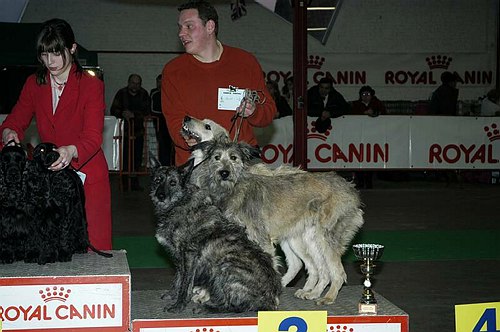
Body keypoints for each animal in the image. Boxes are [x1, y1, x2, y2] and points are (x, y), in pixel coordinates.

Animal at [148, 158, 282, 314]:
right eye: (158, 180)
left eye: (173, 183)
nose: (160, 196)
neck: (179, 202)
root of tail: (271, 299)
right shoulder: (180, 259)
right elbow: (179, 279)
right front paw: (172, 295)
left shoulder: (189, 256)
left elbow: (185, 284)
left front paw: (178, 305)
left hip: (226, 265)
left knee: (234, 306)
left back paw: (207, 308)